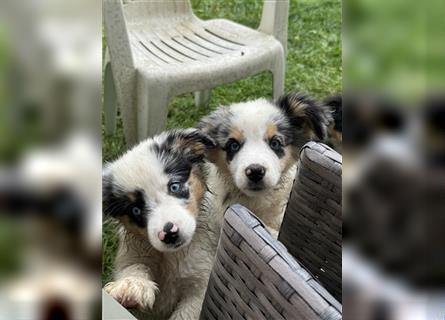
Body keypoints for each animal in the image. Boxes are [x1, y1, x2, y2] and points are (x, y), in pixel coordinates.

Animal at [101, 129, 219, 320]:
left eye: (174, 187)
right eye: (135, 210)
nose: (170, 234)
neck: (172, 256)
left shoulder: (200, 285)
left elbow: (186, 314)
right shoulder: (132, 254)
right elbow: (134, 266)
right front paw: (131, 286)